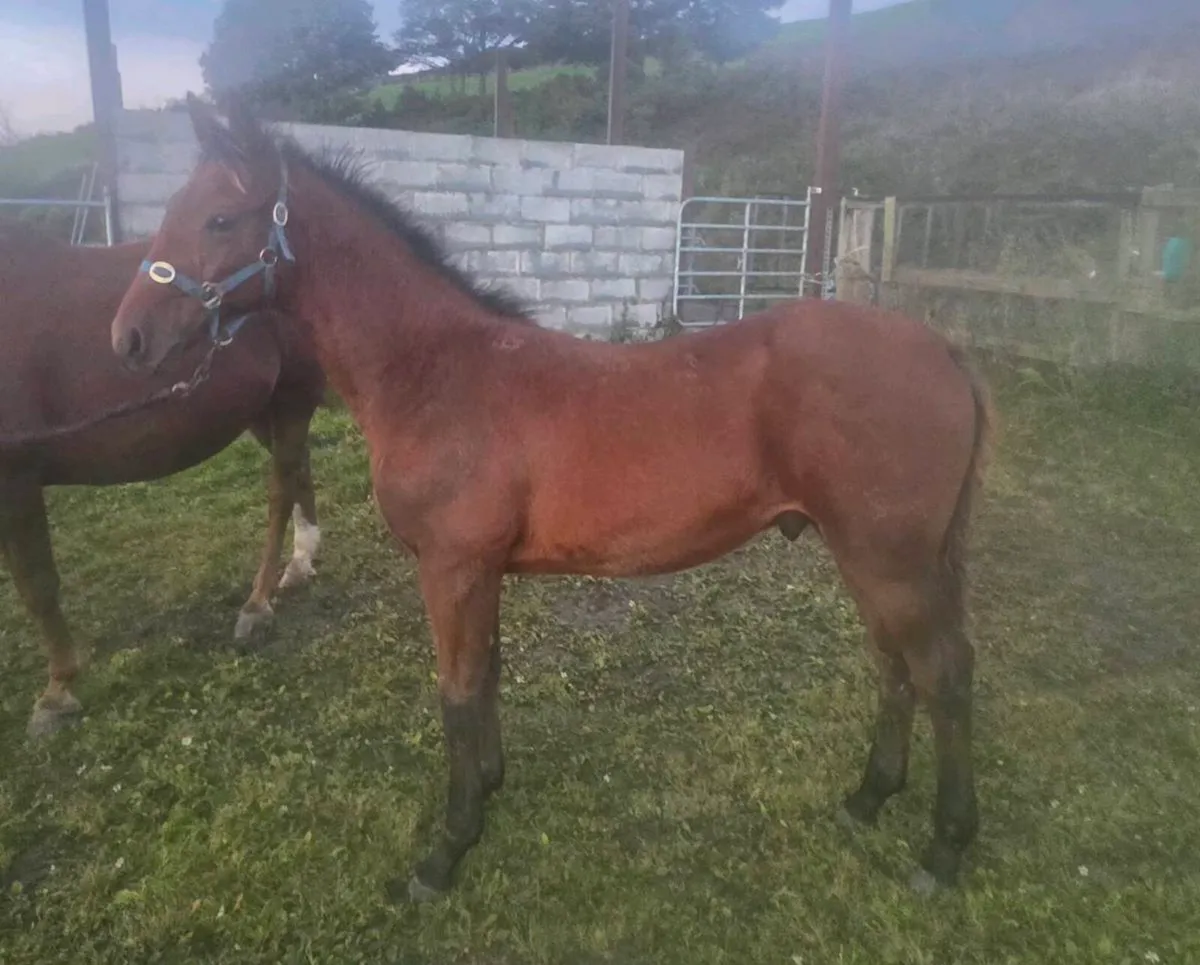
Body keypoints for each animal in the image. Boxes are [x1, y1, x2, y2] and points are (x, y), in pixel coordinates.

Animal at [1, 224, 326, 739]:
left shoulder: (16, 478)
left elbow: (37, 587)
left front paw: (57, 693)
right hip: (262, 406)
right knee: (299, 472)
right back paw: (300, 563)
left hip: (292, 398)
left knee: (281, 490)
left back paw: (258, 604)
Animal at [109, 96, 992, 901]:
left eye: (220, 218)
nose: (128, 339)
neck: (434, 372)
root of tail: (943, 349)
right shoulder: (481, 570)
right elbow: (488, 674)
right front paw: (489, 788)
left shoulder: (452, 567)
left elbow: (457, 690)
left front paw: (445, 851)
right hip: (871, 555)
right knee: (895, 663)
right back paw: (868, 798)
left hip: (889, 558)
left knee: (943, 672)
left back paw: (944, 849)